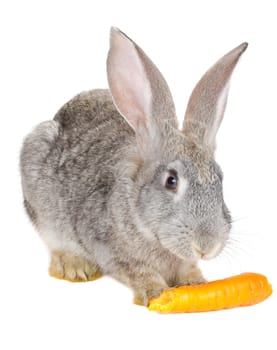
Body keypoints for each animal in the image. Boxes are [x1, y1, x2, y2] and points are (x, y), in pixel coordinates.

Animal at [21, 28, 246, 304]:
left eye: (220, 179)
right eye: (171, 180)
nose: (207, 246)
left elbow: (187, 268)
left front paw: (196, 283)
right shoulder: (108, 247)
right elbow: (136, 270)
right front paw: (155, 293)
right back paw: (74, 267)